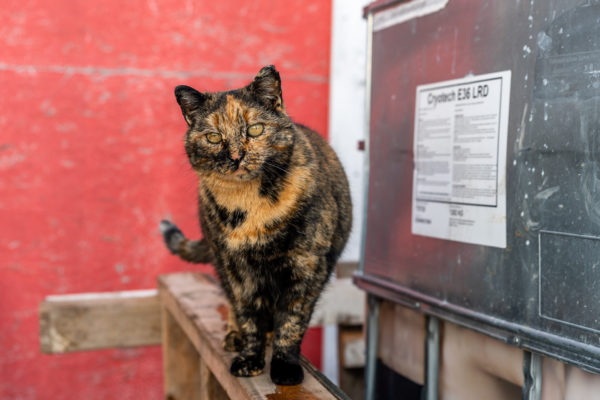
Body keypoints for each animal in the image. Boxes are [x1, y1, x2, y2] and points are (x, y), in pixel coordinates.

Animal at [159, 65, 352, 384]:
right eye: (214, 137)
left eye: (255, 129)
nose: (236, 156)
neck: (249, 210)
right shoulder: (236, 270)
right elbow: (248, 316)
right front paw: (250, 358)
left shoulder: (307, 267)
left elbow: (292, 321)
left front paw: (284, 366)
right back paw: (234, 336)